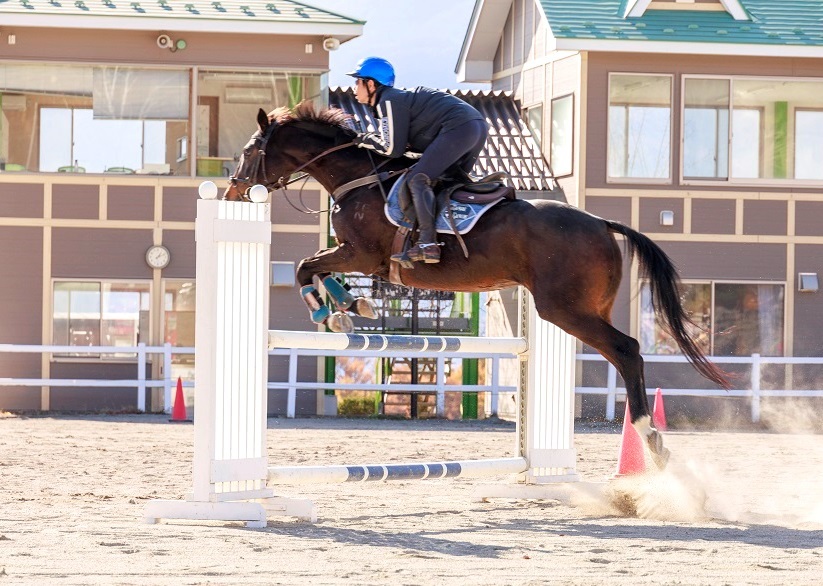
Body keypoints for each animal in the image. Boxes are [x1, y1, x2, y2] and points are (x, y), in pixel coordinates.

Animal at [222, 99, 732, 466]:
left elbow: (306, 267)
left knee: (627, 350)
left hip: (562, 309)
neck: (358, 179)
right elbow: (315, 268)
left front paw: (334, 313)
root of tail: (601, 223)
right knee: (624, 353)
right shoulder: (359, 258)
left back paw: (651, 438)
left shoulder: (362, 254)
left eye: (249, 150)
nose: (232, 189)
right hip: (586, 307)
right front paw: (351, 309)